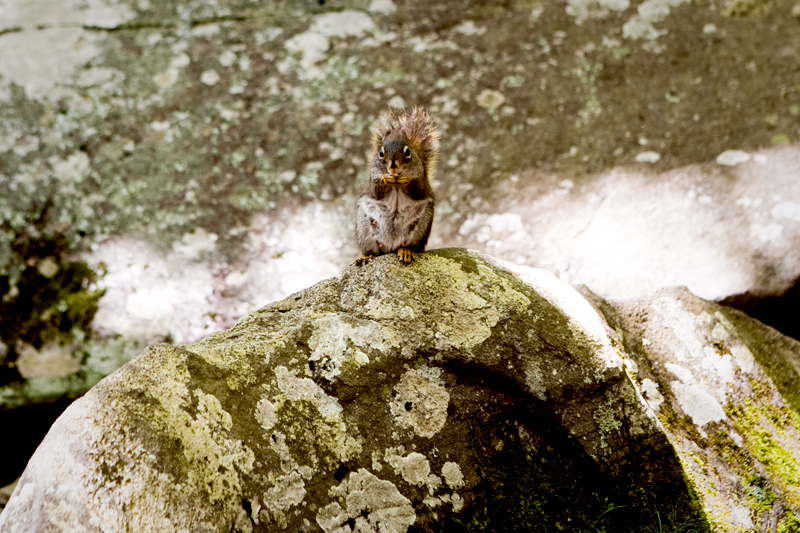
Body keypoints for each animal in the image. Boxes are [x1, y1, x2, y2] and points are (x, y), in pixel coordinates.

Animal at [356, 107, 440, 264]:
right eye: (381, 153)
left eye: (407, 152)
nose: (393, 165)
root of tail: (390, 247)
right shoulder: (372, 179)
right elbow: (376, 191)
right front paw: (385, 179)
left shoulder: (421, 179)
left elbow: (417, 191)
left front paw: (405, 180)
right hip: (364, 228)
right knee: (372, 252)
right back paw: (364, 257)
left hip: (420, 229)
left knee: (409, 246)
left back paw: (405, 251)